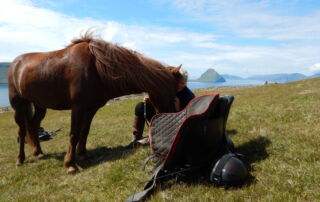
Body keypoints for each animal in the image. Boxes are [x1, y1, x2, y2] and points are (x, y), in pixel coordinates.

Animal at [8, 34, 180, 174]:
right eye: (171, 95)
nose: (171, 133)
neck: (97, 68)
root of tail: (15, 64)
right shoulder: (78, 107)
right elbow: (74, 134)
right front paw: (70, 164)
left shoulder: (91, 108)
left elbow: (84, 131)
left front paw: (83, 154)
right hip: (19, 105)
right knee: (21, 131)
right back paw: (20, 160)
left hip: (40, 105)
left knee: (33, 125)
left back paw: (38, 152)